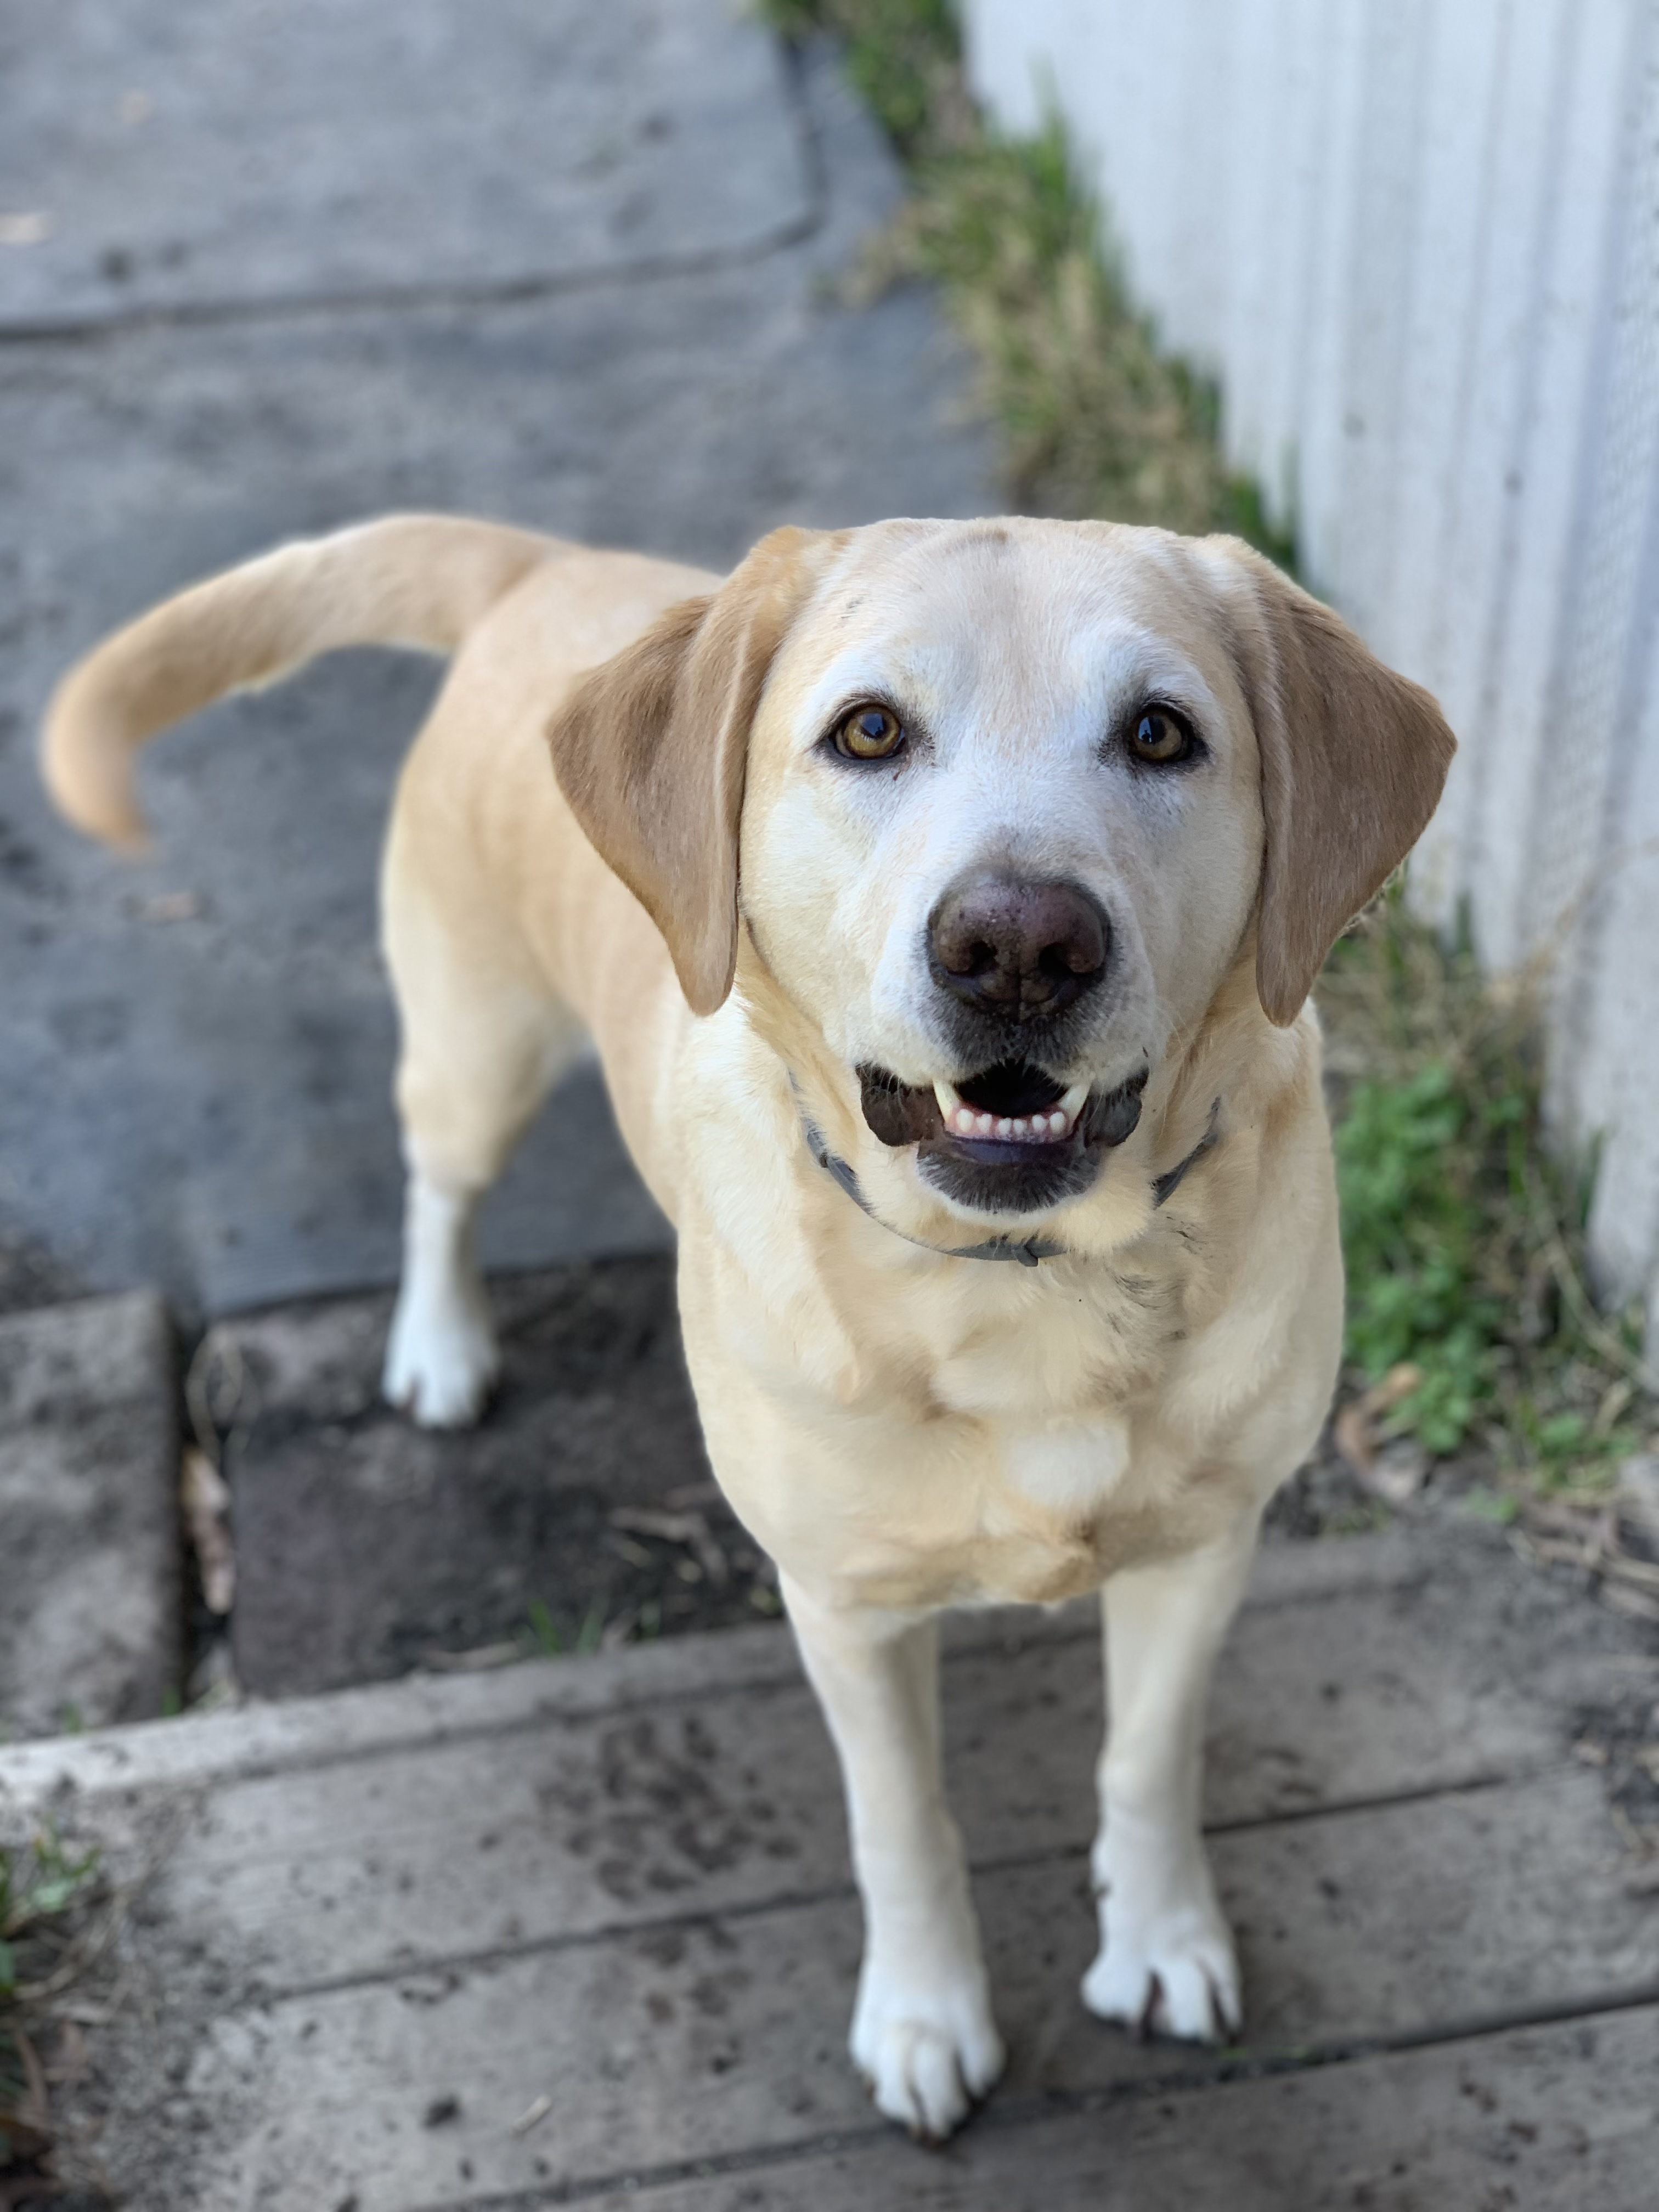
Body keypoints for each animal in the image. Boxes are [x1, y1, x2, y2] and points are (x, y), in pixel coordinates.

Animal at [42, 509, 1451, 2132]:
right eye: (869, 731)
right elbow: (903, 1823)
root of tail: (541, 563)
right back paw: (439, 1345)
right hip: (475, 1054)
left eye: (1162, 734)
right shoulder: (843, 1604)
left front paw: (1157, 1937)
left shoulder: (1205, 1549)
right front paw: (925, 2014)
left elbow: (1149, 1765)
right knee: (437, 1187)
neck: (1017, 1277)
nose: (1020, 947)